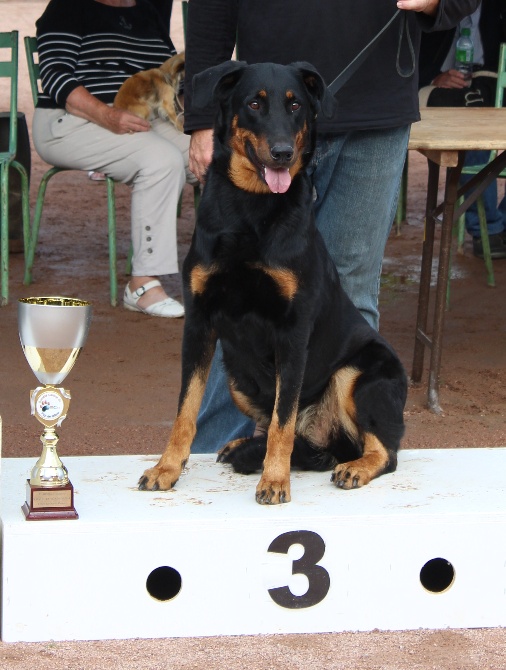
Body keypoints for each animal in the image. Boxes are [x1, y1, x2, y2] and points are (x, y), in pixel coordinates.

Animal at [137, 61, 408, 504]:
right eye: (253, 103)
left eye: (296, 105)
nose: (284, 153)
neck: (251, 207)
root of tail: (326, 441)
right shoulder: (198, 325)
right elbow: (185, 410)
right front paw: (166, 468)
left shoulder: (292, 332)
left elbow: (284, 420)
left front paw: (276, 479)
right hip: (238, 377)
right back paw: (244, 446)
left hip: (357, 374)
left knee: (384, 450)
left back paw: (354, 467)